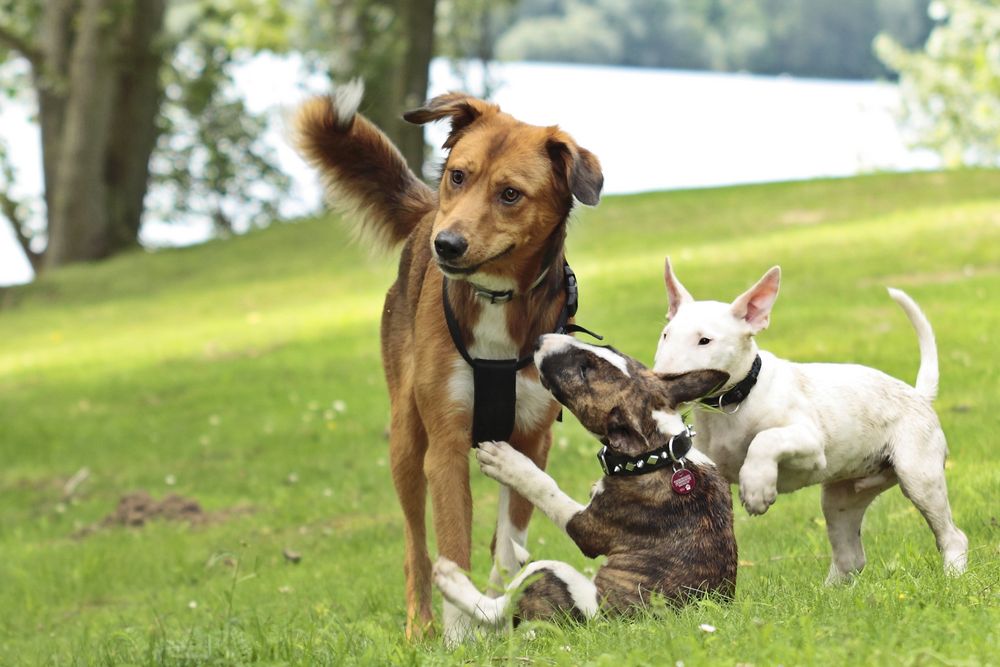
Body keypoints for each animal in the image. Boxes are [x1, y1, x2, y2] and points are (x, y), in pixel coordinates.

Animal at [290, 83, 600, 640]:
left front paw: (494, 614)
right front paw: (459, 637)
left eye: (510, 194)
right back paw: (420, 627)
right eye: (458, 175)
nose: (447, 244)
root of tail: (424, 220)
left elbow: (507, 546)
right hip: (406, 440)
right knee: (415, 547)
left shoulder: (532, 439)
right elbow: (452, 545)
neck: (496, 299)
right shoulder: (447, 445)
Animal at [434, 336, 740, 640]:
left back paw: (450, 577)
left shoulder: (591, 525)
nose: (541, 340)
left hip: (553, 577)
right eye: (609, 349)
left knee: (496, 609)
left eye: (584, 372)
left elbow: (547, 489)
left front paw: (507, 463)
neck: (661, 453)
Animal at [652, 260, 964, 584]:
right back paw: (829, 591)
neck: (732, 403)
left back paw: (953, 575)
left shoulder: (811, 445)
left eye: (705, 340)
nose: (661, 379)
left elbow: (765, 439)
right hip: (843, 496)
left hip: (919, 475)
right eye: (665, 335)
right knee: (851, 556)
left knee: (951, 535)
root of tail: (919, 395)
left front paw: (757, 490)